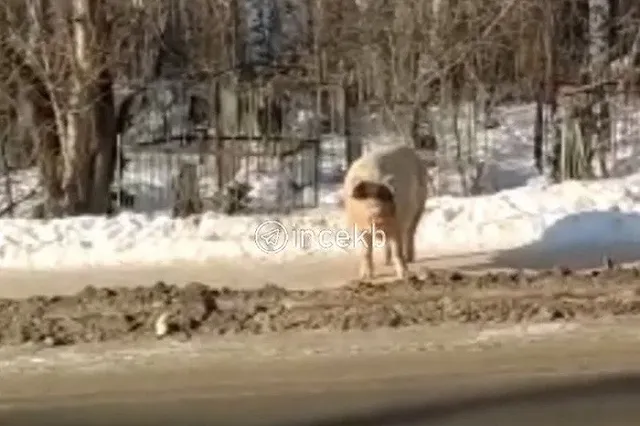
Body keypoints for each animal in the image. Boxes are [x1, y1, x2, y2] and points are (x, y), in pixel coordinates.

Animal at [342, 144, 428, 280]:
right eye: (367, 199)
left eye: (384, 196)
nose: (378, 213)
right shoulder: (360, 227)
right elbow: (366, 252)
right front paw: (366, 277)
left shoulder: (398, 223)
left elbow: (397, 250)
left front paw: (404, 275)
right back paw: (386, 262)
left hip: (420, 205)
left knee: (410, 233)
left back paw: (409, 259)